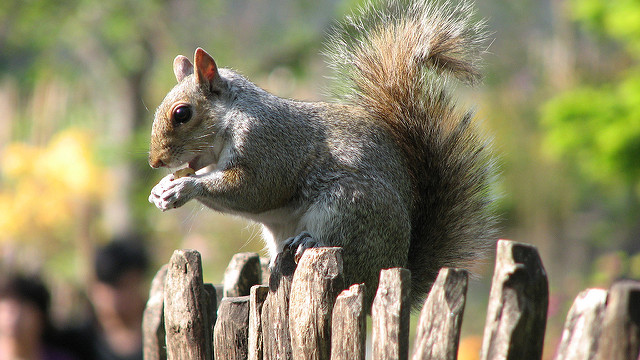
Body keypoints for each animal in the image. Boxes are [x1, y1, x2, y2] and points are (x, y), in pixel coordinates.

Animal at [148, 0, 498, 310]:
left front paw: (183, 187)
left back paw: (310, 242)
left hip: (349, 207)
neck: (233, 117)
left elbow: (254, 189)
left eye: (182, 113)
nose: (155, 162)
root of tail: (392, 270)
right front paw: (162, 187)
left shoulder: (268, 145)